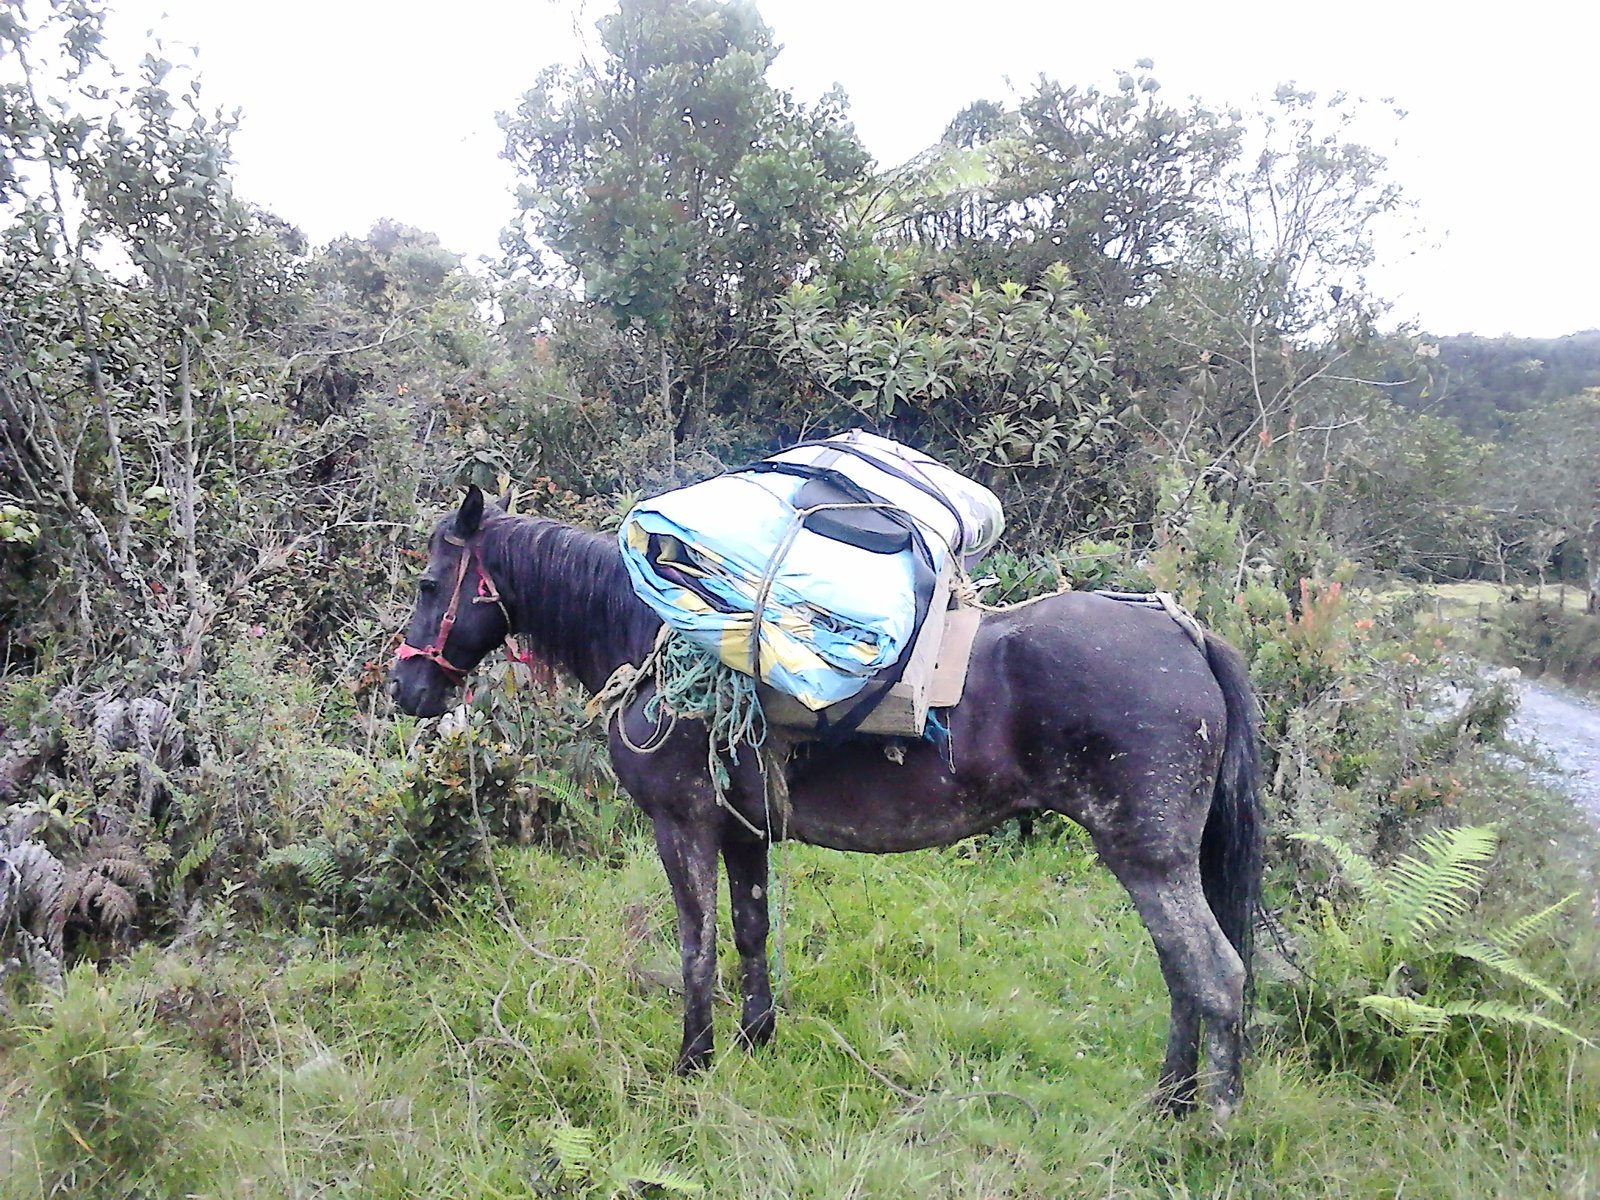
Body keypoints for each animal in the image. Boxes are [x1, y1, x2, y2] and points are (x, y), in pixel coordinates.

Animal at [389, 485, 1262, 1124]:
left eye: (431, 583)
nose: (406, 687)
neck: (658, 646)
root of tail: (1183, 635)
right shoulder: (742, 832)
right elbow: (749, 932)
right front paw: (755, 1041)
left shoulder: (683, 828)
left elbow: (697, 949)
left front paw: (692, 1064)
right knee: (1182, 973)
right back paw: (1169, 1103)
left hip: (1148, 861)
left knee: (1215, 975)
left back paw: (1211, 1122)